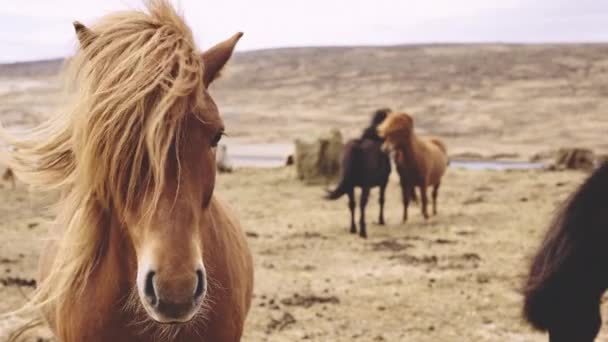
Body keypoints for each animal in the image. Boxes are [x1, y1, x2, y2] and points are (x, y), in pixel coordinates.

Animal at [326, 109, 392, 238]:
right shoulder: (384, 183)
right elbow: (381, 200)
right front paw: (381, 221)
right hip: (365, 186)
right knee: (362, 204)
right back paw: (363, 231)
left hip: (349, 186)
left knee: (352, 204)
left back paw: (353, 229)